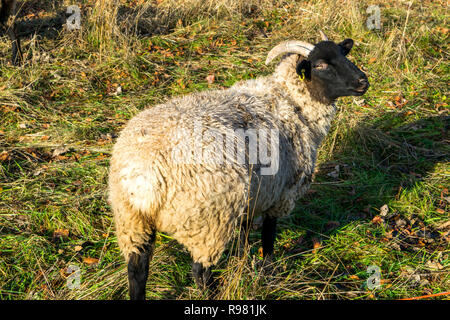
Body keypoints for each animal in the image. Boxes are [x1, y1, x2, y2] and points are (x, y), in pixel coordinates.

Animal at [108, 31, 370, 298]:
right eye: (320, 65)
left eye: (343, 53)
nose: (363, 81)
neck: (292, 103)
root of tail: (145, 180)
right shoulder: (280, 194)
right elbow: (268, 237)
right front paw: (268, 271)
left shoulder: (254, 195)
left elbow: (245, 234)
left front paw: (243, 264)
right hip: (208, 223)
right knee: (200, 271)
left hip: (132, 223)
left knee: (137, 271)